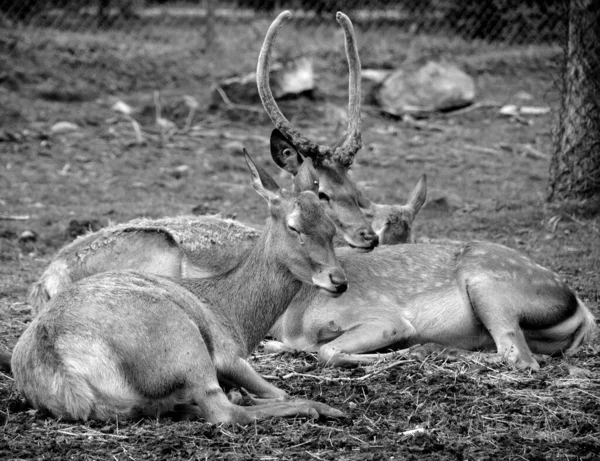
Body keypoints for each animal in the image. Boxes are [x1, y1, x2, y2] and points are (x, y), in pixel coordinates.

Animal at [10, 151, 346, 424]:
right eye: (294, 226)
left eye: (331, 226)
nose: (339, 280)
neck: (234, 316)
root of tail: (63, 367)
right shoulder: (228, 356)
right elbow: (275, 391)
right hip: (186, 343)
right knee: (222, 411)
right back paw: (320, 408)